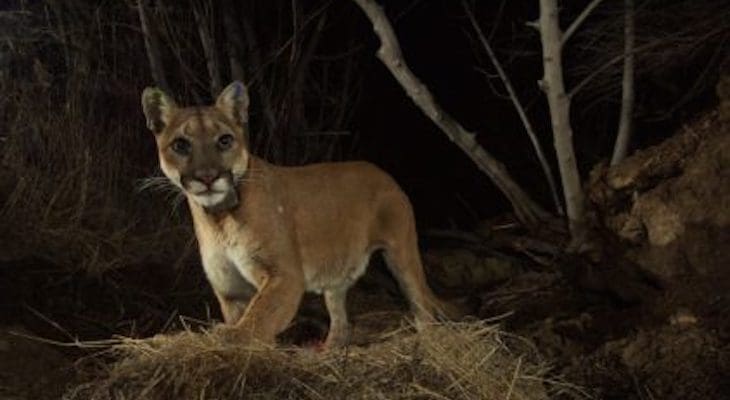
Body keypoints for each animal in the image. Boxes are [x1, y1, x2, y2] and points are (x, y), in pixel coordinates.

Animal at [141, 81, 466, 348]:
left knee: (421, 303)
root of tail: (381, 172)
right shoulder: (230, 289)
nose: (207, 177)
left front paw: (227, 338)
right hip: (337, 272)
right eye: (181, 145)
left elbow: (258, 319)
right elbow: (252, 320)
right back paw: (328, 352)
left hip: (401, 252)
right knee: (340, 319)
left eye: (224, 140)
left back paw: (428, 344)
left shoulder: (284, 274)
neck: (218, 218)